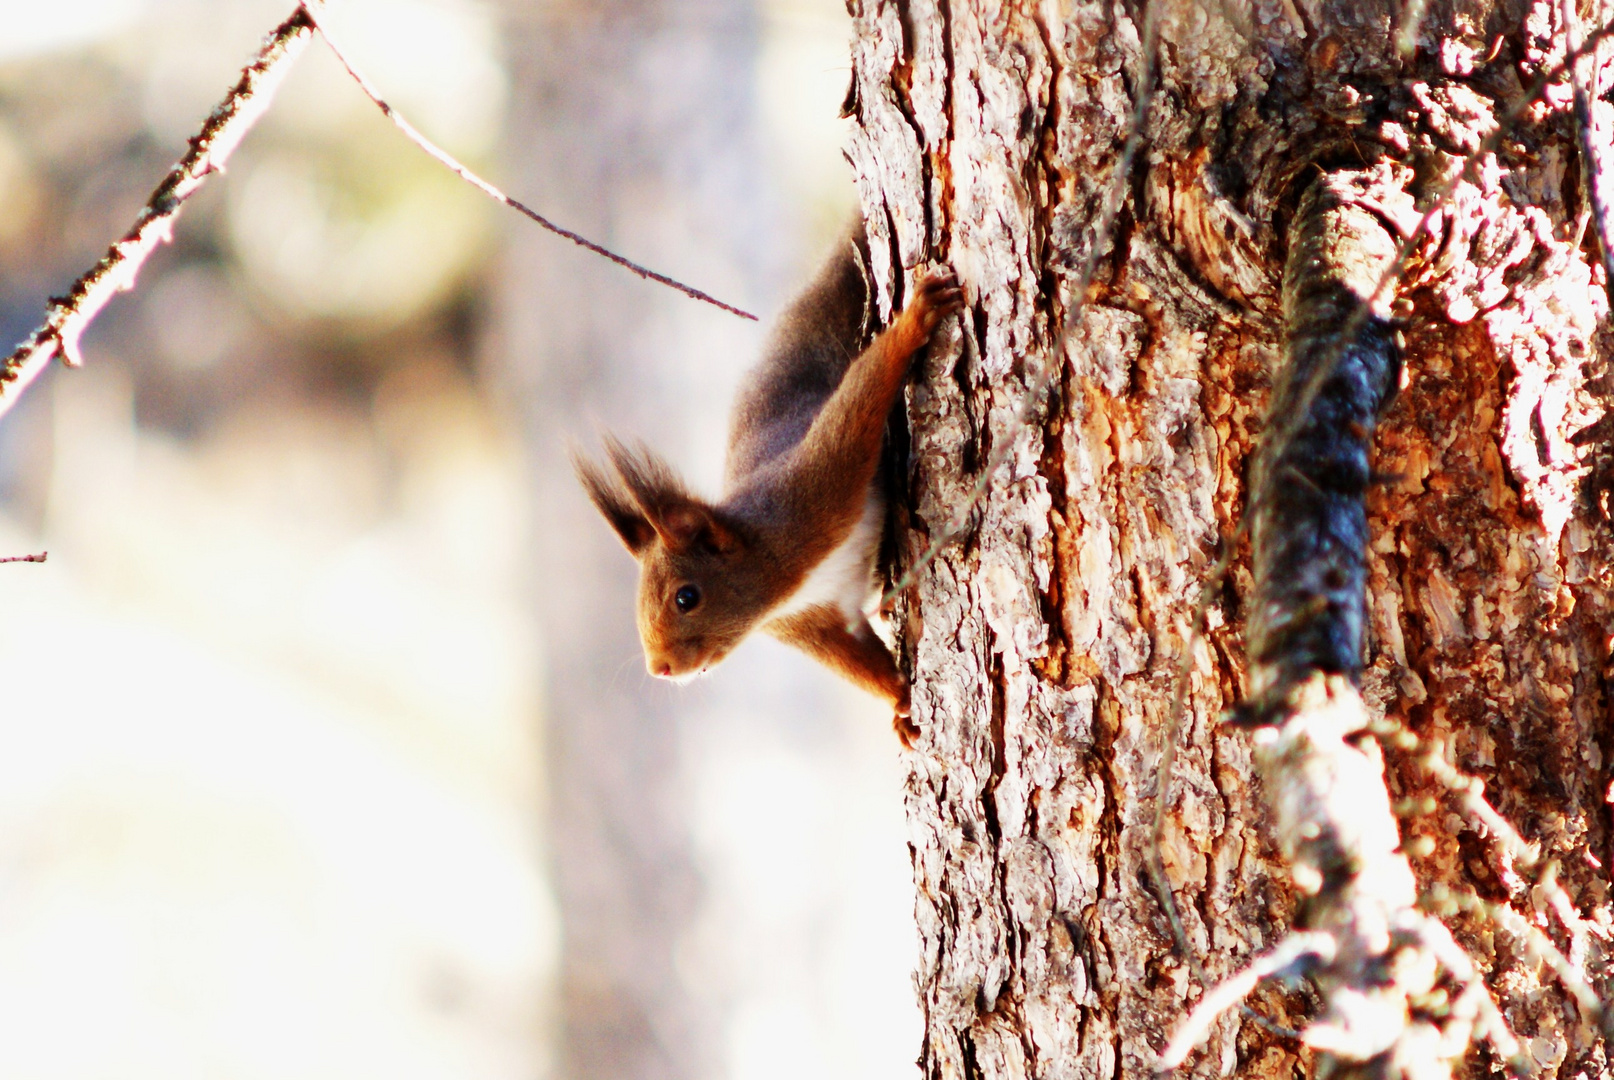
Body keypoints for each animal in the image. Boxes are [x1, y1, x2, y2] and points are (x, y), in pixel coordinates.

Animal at [577, 229, 961, 745]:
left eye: (687, 597)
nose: (660, 668)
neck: (781, 579)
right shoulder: (809, 621)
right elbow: (855, 659)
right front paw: (899, 704)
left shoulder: (814, 489)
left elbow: (858, 401)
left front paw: (913, 321)